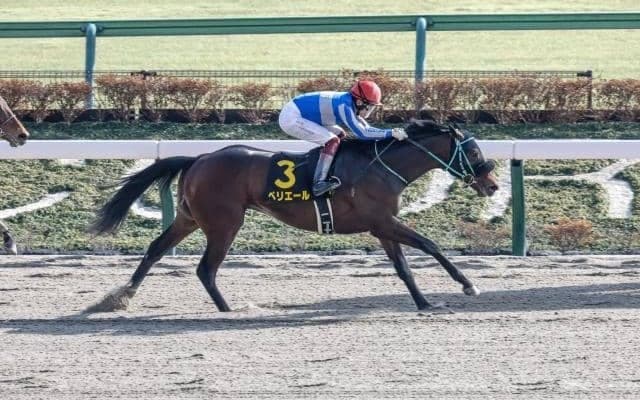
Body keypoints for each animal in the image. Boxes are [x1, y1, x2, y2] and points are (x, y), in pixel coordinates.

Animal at [89, 120, 499, 313]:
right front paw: (467, 285)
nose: (493, 185)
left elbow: (404, 268)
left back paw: (120, 298)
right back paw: (227, 309)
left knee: (156, 249)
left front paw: (424, 303)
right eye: (474, 152)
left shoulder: (382, 227)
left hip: (190, 218)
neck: (381, 166)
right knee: (206, 268)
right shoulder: (383, 222)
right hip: (224, 223)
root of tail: (199, 157)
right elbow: (431, 246)